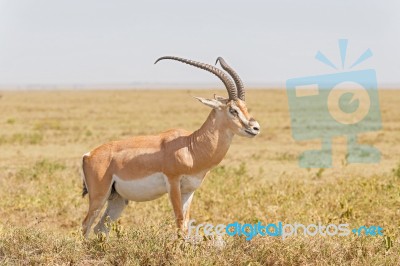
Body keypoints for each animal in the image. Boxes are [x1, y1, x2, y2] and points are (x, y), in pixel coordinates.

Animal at [82, 55, 260, 237]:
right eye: (233, 110)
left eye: (245, 108)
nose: (255, 128)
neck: (190, 148)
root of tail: (88, 155)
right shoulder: (173, 184)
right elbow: (179, 221)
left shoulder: (189, 190)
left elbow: (186, 223)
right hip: (99, 197)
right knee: (86, 225)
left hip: (117, 199)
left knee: (100, 228)